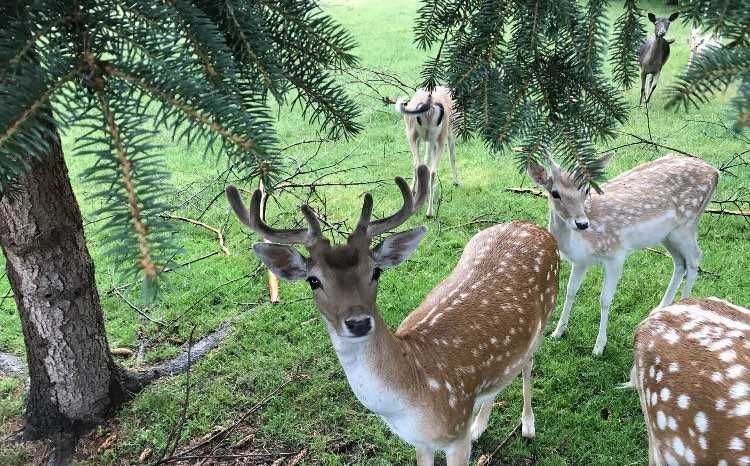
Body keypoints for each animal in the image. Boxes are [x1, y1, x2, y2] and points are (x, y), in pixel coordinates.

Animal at [226, 166, 560, 464]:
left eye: (376, 271)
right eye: (314, 281)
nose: (358, 322)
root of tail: (537, 228)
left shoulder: (455, 436)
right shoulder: (420, 441)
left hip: (545, 316)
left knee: (528, 364)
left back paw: (528, 425)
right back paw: (479, 426)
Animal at [528, 155, 724, 354]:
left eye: (586, 190)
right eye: (555, 193)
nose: (582, 223)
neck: (581, 242)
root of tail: (715, 172)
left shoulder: (616, 254)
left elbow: (605, 299)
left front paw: (599, 346)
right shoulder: (581, 261)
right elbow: (570, 291)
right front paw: (557, 332)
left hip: (687, 225)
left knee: (695, 258)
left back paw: (683, 309)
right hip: (668, 235)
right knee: (680, 262)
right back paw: (661, 309)